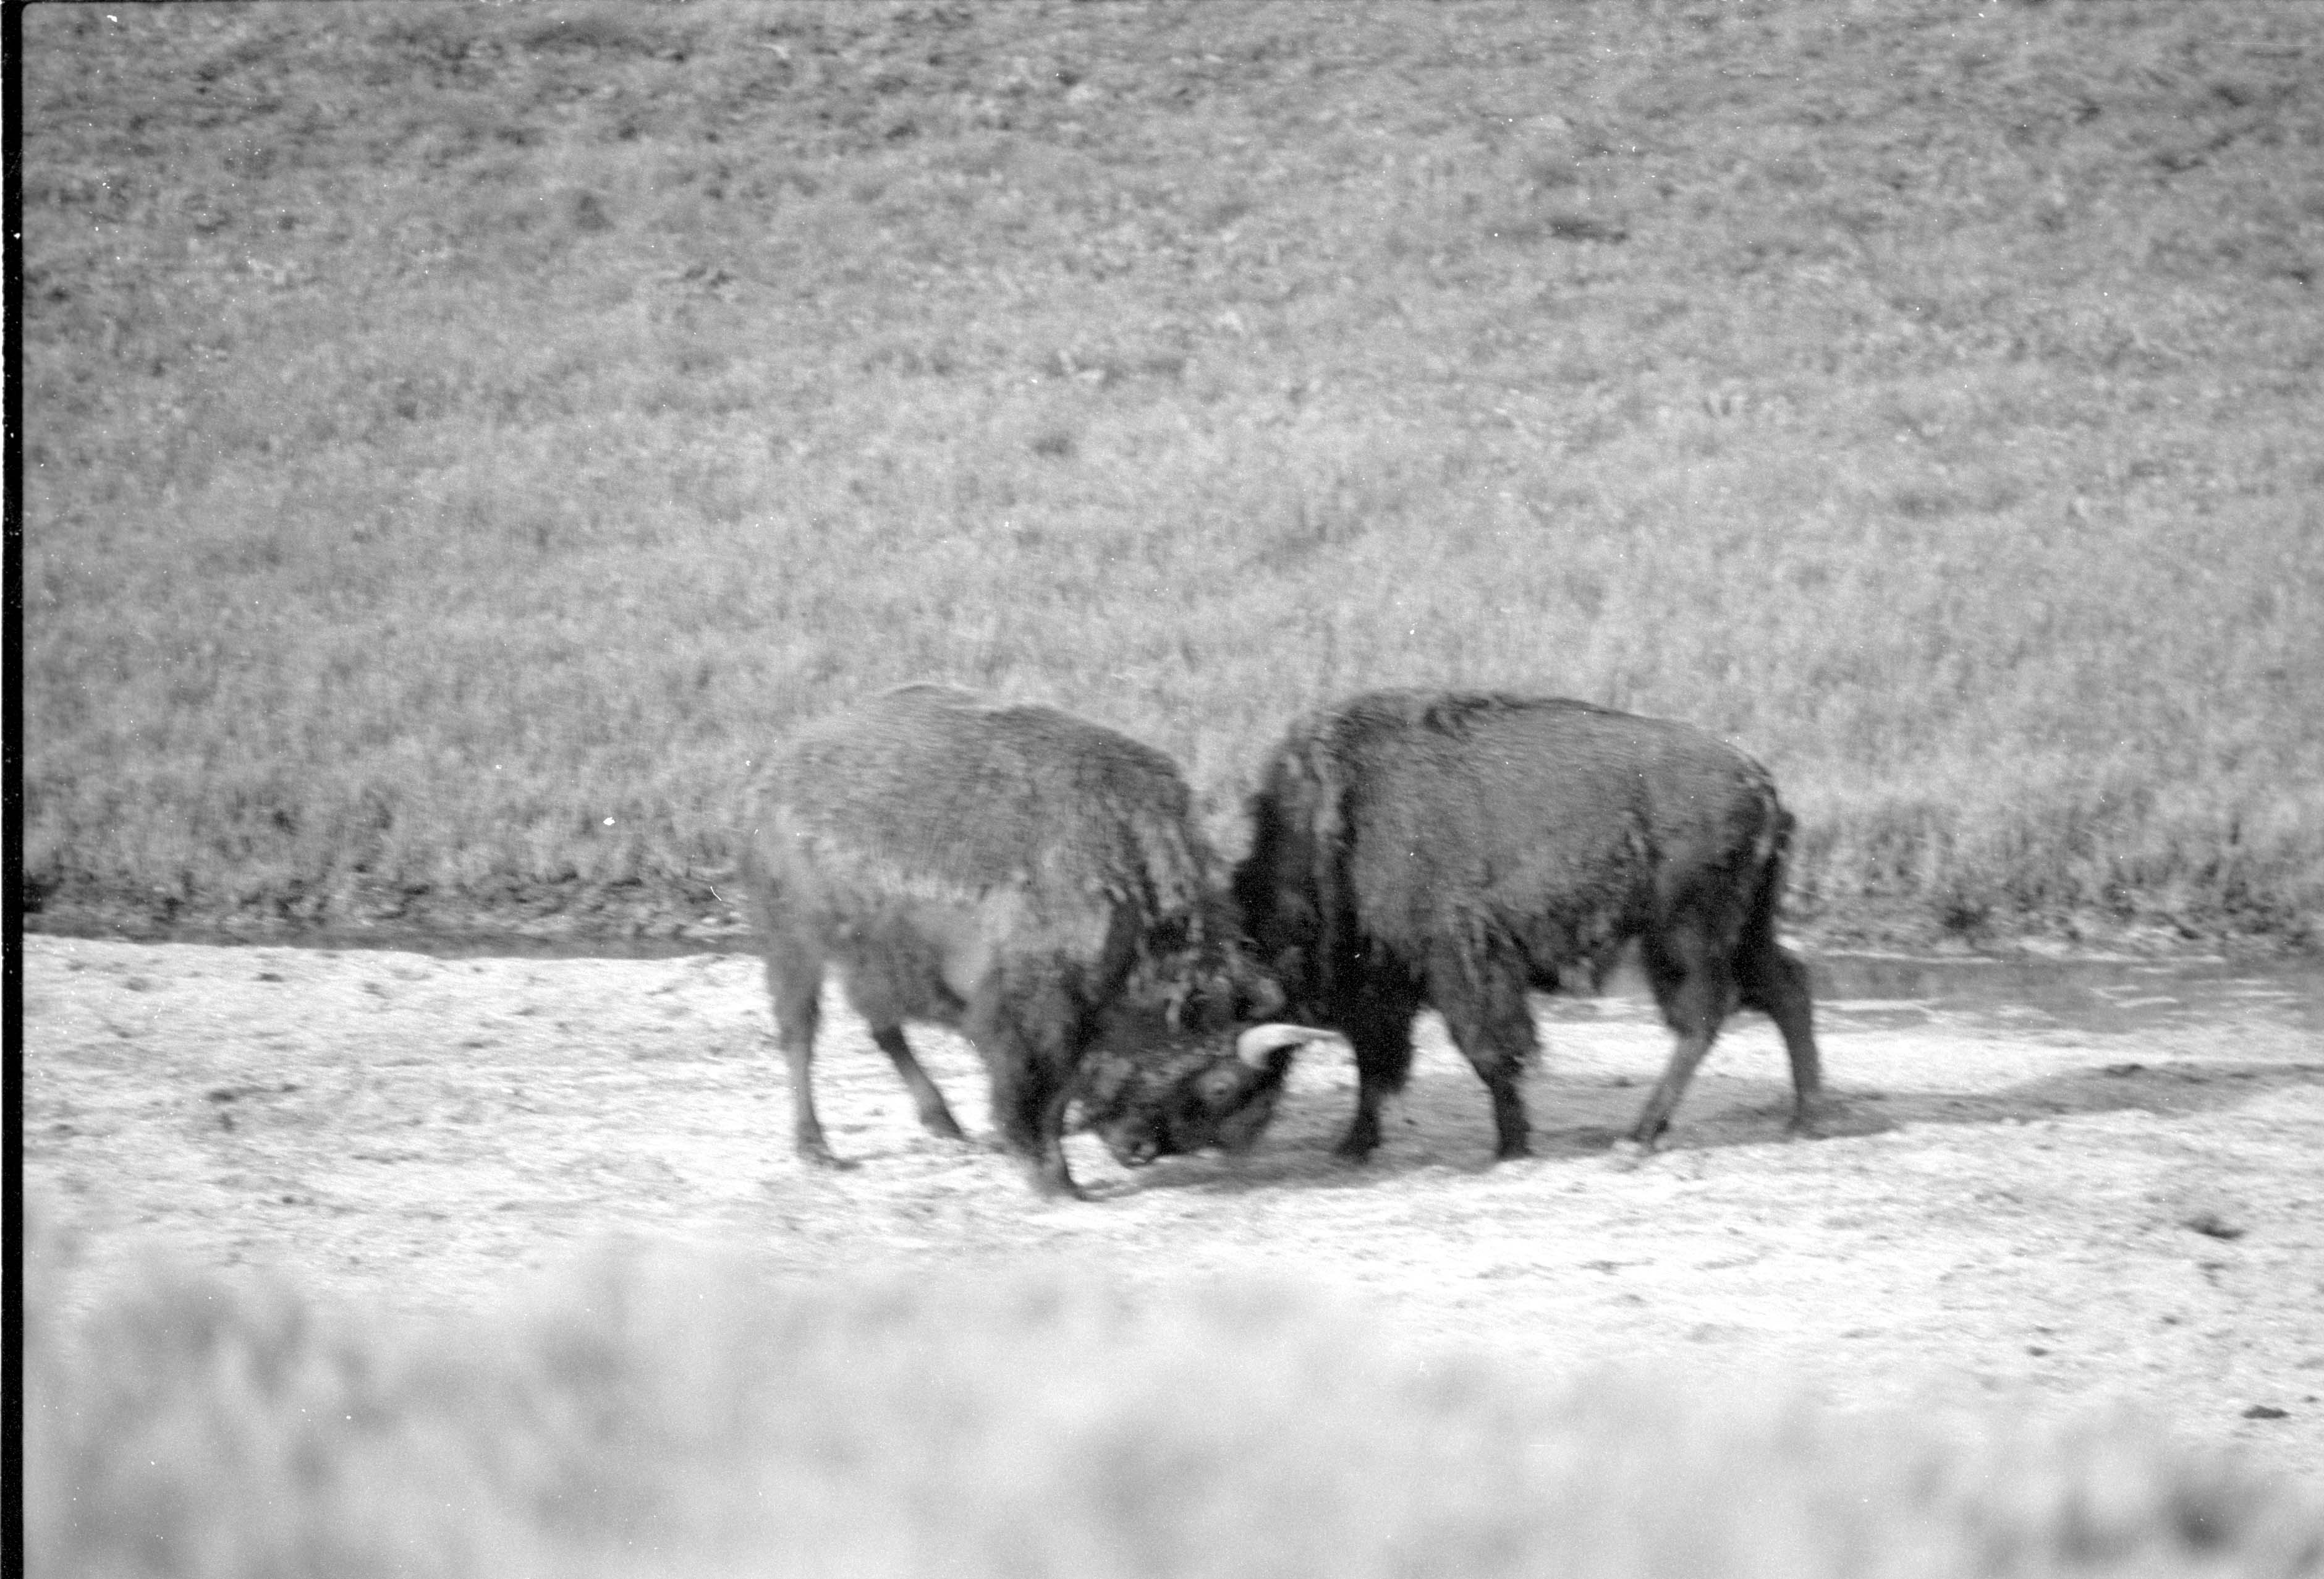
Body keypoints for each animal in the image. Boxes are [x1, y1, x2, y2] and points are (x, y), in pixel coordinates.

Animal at [740, 683, 1340, 1198]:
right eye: (1221, 1087)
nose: (1137, 1152)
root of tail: (783, 766)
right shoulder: (1037, 1020)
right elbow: (1035, 1093)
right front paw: (1053, 1180)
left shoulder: (1076, 1024)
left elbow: (1056, 1093)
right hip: (793, 944)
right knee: (800, 1035)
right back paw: (817, 1149)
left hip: (868, 960)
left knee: (883, 1028)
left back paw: (944, 1123)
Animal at [1232, 689, 1824, 1164]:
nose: (1229, 1133)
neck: (1336, 820)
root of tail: (1759, 780)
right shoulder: (1387, 980)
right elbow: (1374, 1065)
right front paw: (1353, 1145)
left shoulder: (1459, 963)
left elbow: (1486, 1051)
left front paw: (1511, 1145)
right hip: (1741, 930)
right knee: (1785, 988)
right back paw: (1803, 1120)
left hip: (1682, 936)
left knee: (1701, 1018)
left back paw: (1639, 1136)